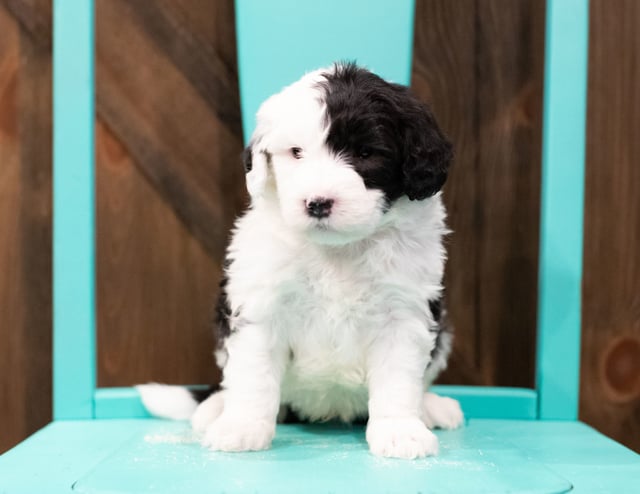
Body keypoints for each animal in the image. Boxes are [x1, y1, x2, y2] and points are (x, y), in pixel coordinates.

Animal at [140, 61, 462, 460]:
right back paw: (216, 408)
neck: (338, 249)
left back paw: (430, 406)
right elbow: (253, 375)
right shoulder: (260, 305)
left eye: (366, 153)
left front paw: (400, 430)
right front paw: (242, 426)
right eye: (296, 153)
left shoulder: (403, 311)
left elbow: (398, 379)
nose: (318, 203)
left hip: (443, 329)